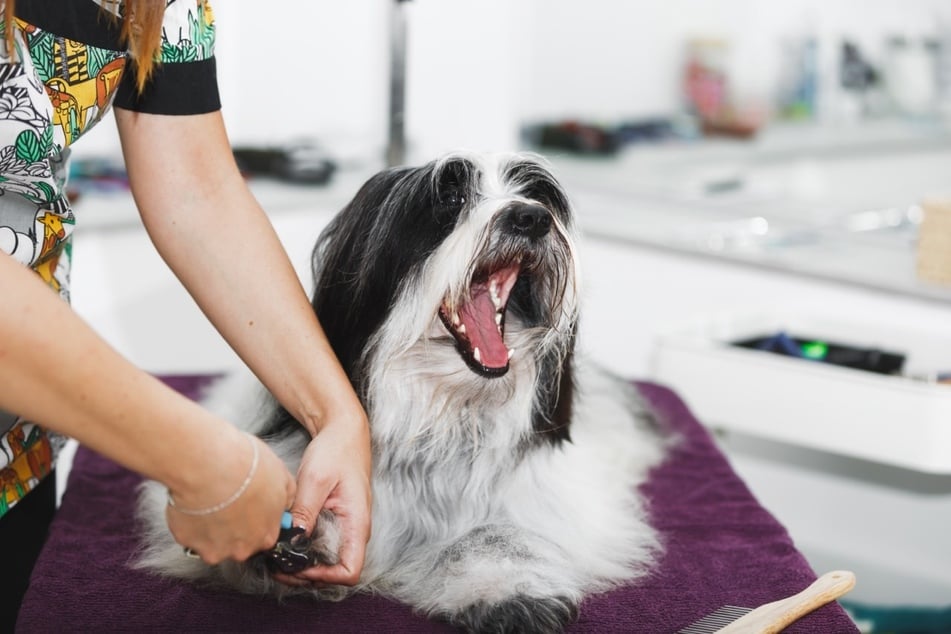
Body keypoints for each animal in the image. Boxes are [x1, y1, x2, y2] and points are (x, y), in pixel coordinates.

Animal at [134, 151, 668, 628]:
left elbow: (496, 533)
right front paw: (304, 536)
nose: (531, 218)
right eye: (450, 197)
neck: (441, 422)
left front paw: (505, 590)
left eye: (535, 194)